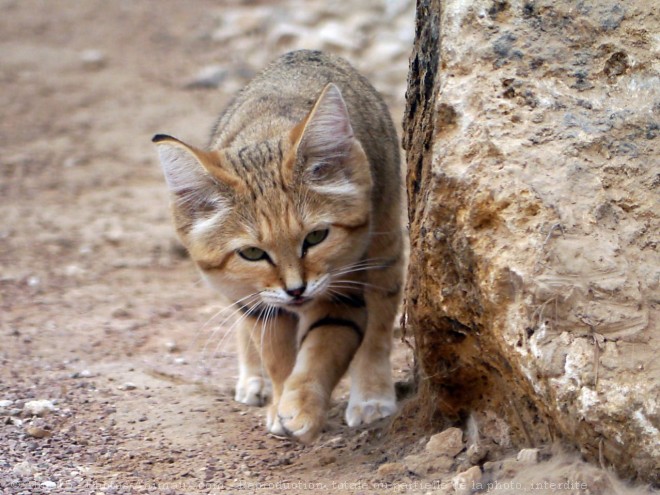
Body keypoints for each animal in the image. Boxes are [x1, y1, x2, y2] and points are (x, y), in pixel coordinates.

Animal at [153, 50, 402, 444]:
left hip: (385, 244)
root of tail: (304, 52)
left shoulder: (342, 293)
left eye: (316, 237)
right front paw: (281, 399)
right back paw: (252, 380)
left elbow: (323, 350)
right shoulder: (258, 301)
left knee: (379, 325)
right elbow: (276, 354)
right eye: (252, 253)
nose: (296, 290)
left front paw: (300, 408)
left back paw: (372, 396)